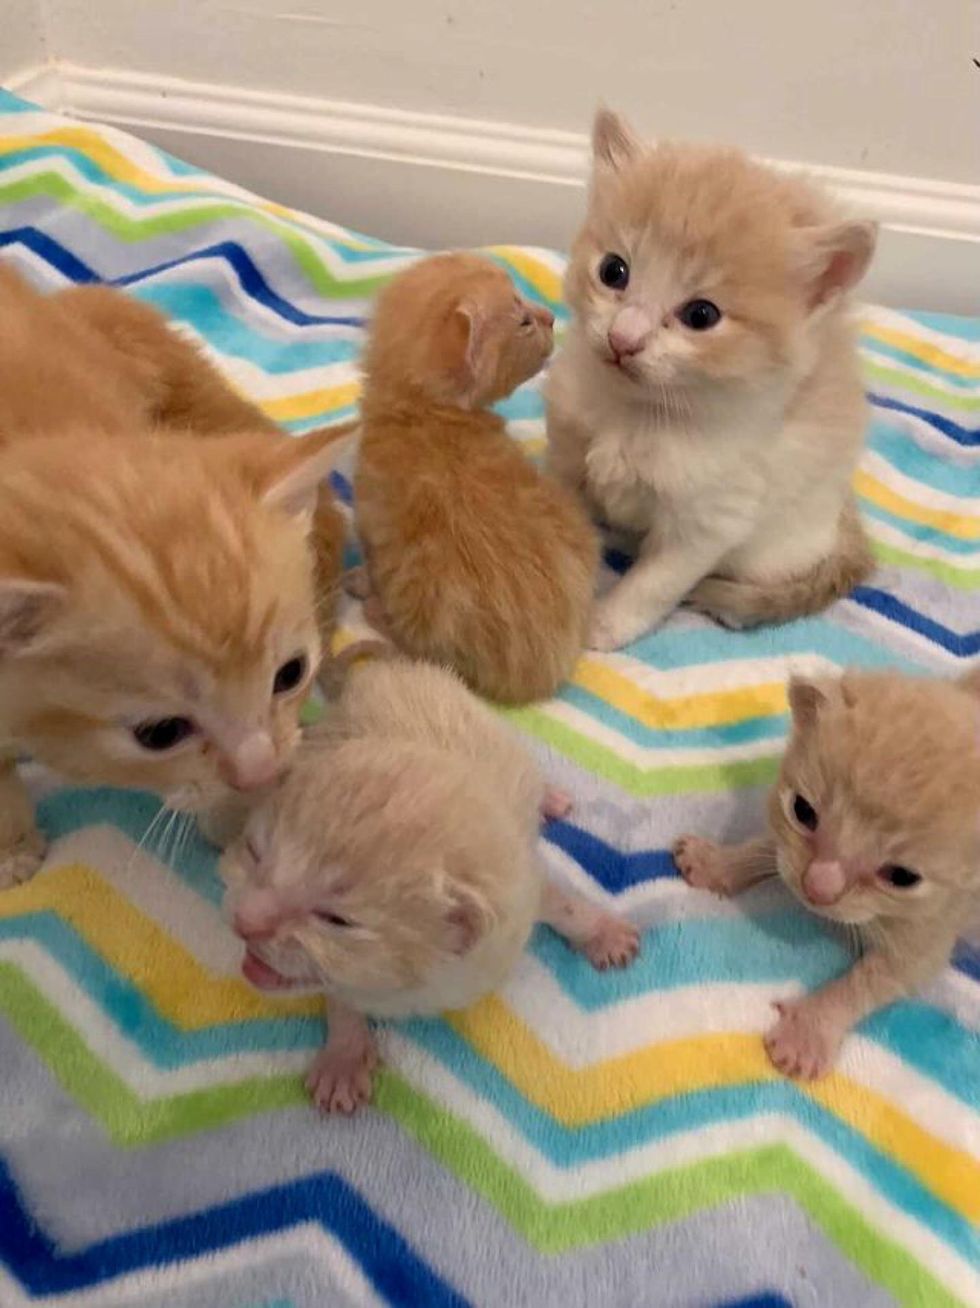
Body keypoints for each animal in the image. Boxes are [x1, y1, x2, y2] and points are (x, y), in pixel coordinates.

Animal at [219, 659, 641, 1109]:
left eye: (336, 920)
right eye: (254, 853)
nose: (244, 922)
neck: (415, 985)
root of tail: (391, 668)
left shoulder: (516, 891)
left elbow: (562, 904)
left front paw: (606, 935)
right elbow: (341, 996)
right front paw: (344, 1059)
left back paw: (551, 798)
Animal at [350, 253, 596, 706]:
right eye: (524, 321)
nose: (551, 316)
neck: (424, 414)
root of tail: (546, 671)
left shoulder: (375, 522)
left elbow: (374, 560)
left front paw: (361, 580)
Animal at [546, 107, 874, 648]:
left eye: (701, 315)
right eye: (614, 271)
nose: (623, 338)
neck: (641, 413)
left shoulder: (710, 520)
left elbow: (655, 584)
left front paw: (604, 625)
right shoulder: (567, 455)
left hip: (775, 549)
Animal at [675, 669, 978, 1077]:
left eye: (902, 877)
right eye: (803, 811)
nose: (816, 888)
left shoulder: (933, 933)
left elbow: (869, 981)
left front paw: (808, 1032)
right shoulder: (790, 847)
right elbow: (771, 847)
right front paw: (718, 862)